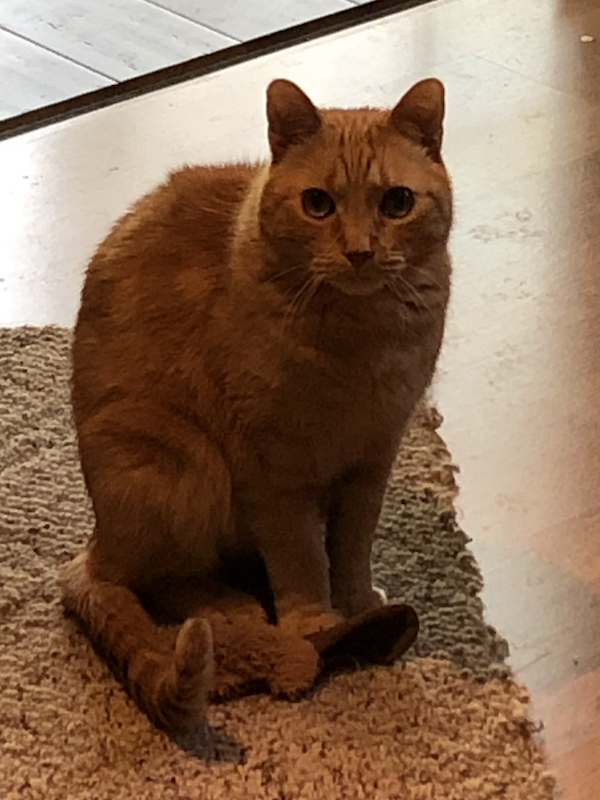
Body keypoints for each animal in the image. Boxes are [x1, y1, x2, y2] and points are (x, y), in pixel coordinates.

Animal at [63, 78, 452, 728]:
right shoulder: (273, 472)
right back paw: (237, 611)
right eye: (318, 204)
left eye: (397, 203)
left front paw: (354, 603)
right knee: (161, 580)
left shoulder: (371, 462)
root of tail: (96, 545)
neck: (360, 341)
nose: (361, 252)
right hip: (180, 460)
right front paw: (314, 622)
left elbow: (351, 547)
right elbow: (300, 558)